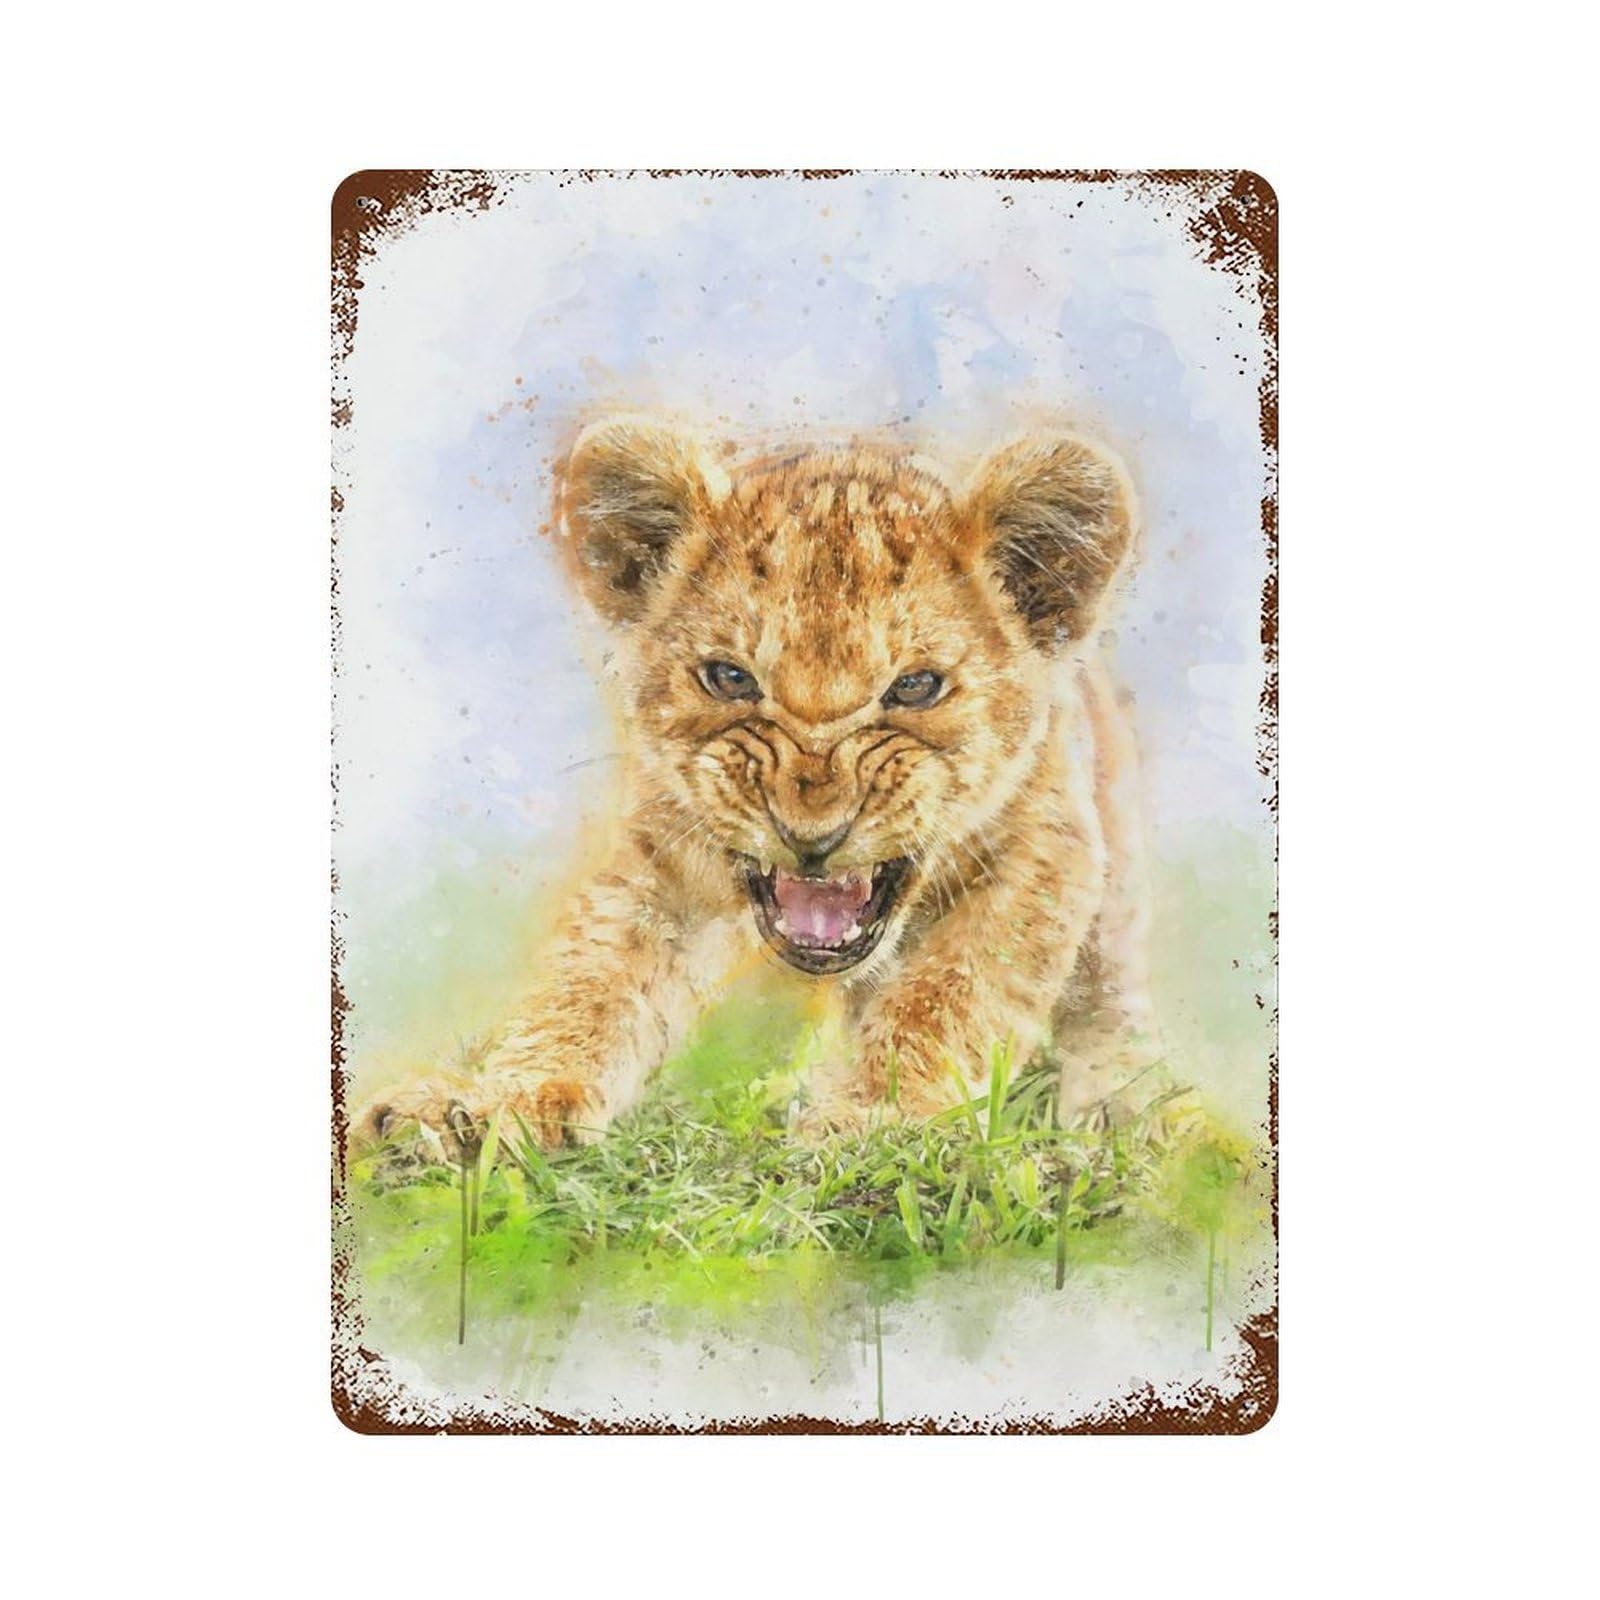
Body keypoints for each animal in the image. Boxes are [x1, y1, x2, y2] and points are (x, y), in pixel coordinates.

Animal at [356, 416, 1159, 1154]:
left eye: (915, 687)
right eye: (730, 678)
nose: (813, 836)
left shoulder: (1046, 846)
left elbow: (952, 991)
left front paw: (877, 1114)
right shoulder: (662, 855)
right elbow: (591, 977)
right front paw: (503, 1101)